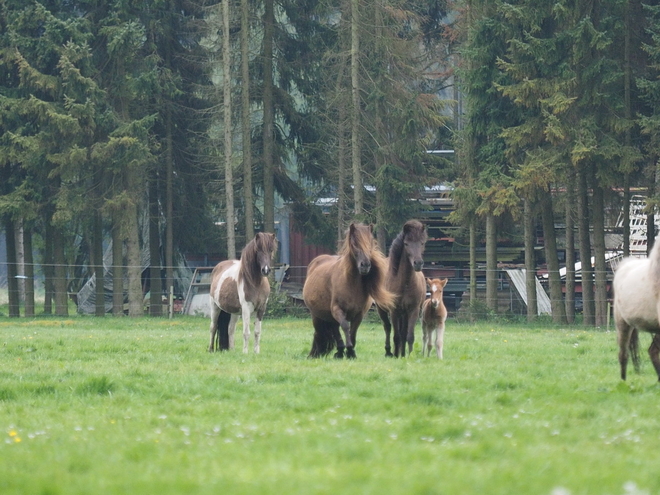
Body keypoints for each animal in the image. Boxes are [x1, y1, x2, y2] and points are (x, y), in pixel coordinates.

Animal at [302, 223, 394, 358]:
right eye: (355, 243)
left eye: (371, 242)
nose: (365, 265)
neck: (351, 285)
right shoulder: (337, 310)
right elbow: (345, 326)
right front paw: (349, 349)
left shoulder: (359, 314)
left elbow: (353, 331)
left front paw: (351, 352)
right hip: (317, 315)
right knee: (327, 330)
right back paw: (334, 351)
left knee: (334, 328)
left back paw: (339, 351)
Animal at [376, 220, 428, 356]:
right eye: (406, 243)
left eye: (422, 242)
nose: (418, 263)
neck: (405, 283)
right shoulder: (394, 311)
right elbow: (396, 336)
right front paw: (396, 355)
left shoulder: (413, 310)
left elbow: (409, 336)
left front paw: (409, 355)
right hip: (382, 309)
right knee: (387, 327)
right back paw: (389, 352)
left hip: (404, 314)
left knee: (402, 332)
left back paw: (402, 353)